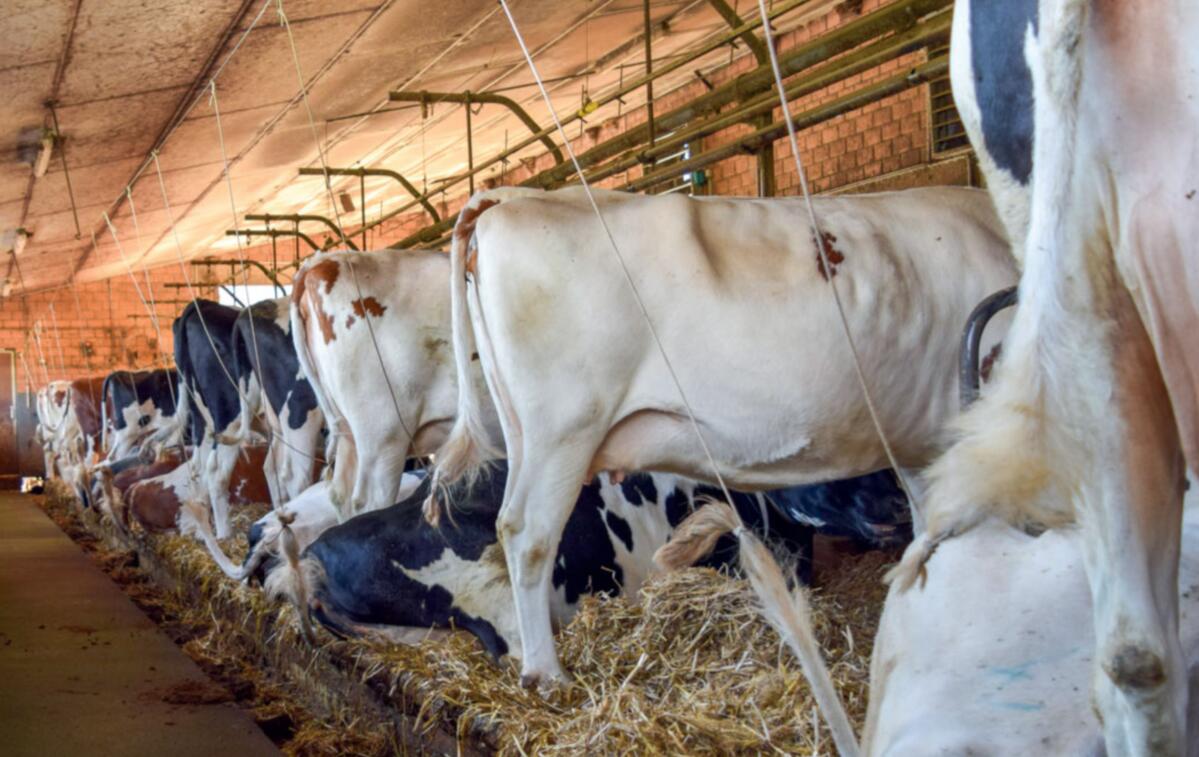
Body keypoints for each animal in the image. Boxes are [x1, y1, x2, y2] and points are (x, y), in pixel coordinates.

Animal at [173, 299, 256, 539]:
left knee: (197, 466)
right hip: (229, 414)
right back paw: (224, 533)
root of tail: (201, 303)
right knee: (216, 471)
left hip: (201, 416)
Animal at [430, 185, 1017, 689]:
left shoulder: (923, 442)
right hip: (566, 429)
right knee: (527, 535)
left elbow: (928, 528)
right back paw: (547, 674)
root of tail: (513, 197)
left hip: (525, 433)